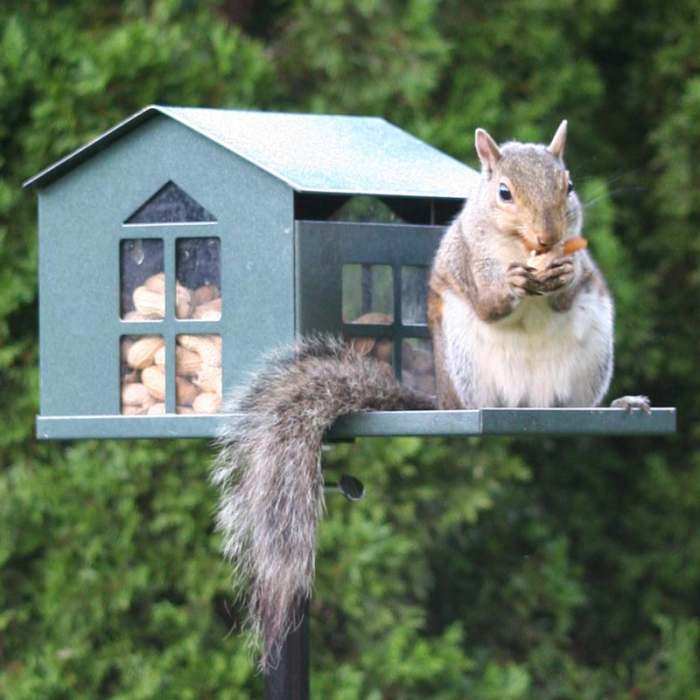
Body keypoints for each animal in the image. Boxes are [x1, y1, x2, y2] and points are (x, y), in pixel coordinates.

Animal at [212, 121, 652, 672]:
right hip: (463, 361)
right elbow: (490, 301)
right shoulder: (465, 262)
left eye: (568, 185)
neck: (520, 250)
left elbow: (571, 287)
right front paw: (509, 287)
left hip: (592, 351)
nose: (548, 237)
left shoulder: (582, 271)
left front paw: (564, 274)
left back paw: (617, 405)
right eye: (503, 192)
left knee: (576, 405)